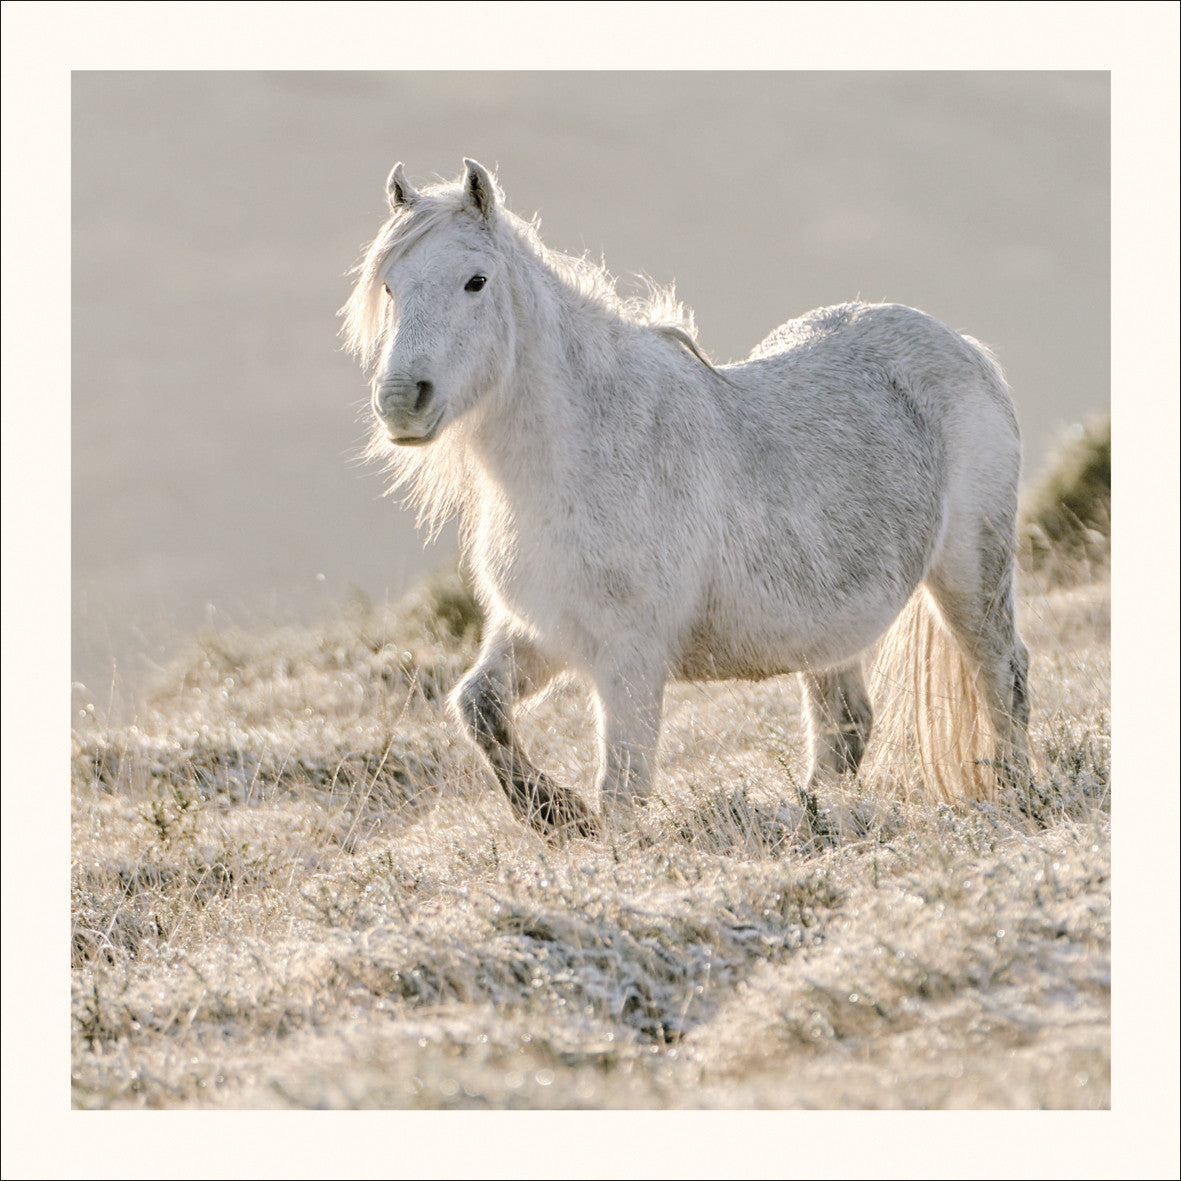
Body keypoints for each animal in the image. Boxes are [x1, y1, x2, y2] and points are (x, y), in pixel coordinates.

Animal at [341, 159, 1031, 838]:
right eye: (391, 288)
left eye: (476, 282)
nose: (402, 401)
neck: (585, 452)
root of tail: (967, 349)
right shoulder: (540, 633)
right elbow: (478, 708)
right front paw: (553, 812)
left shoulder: (630, 660)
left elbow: (622, 793)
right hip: (832, 628)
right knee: (846, 727)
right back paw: (815, 818)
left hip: (970, 573)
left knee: (1004, 676)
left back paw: (1019, 796)